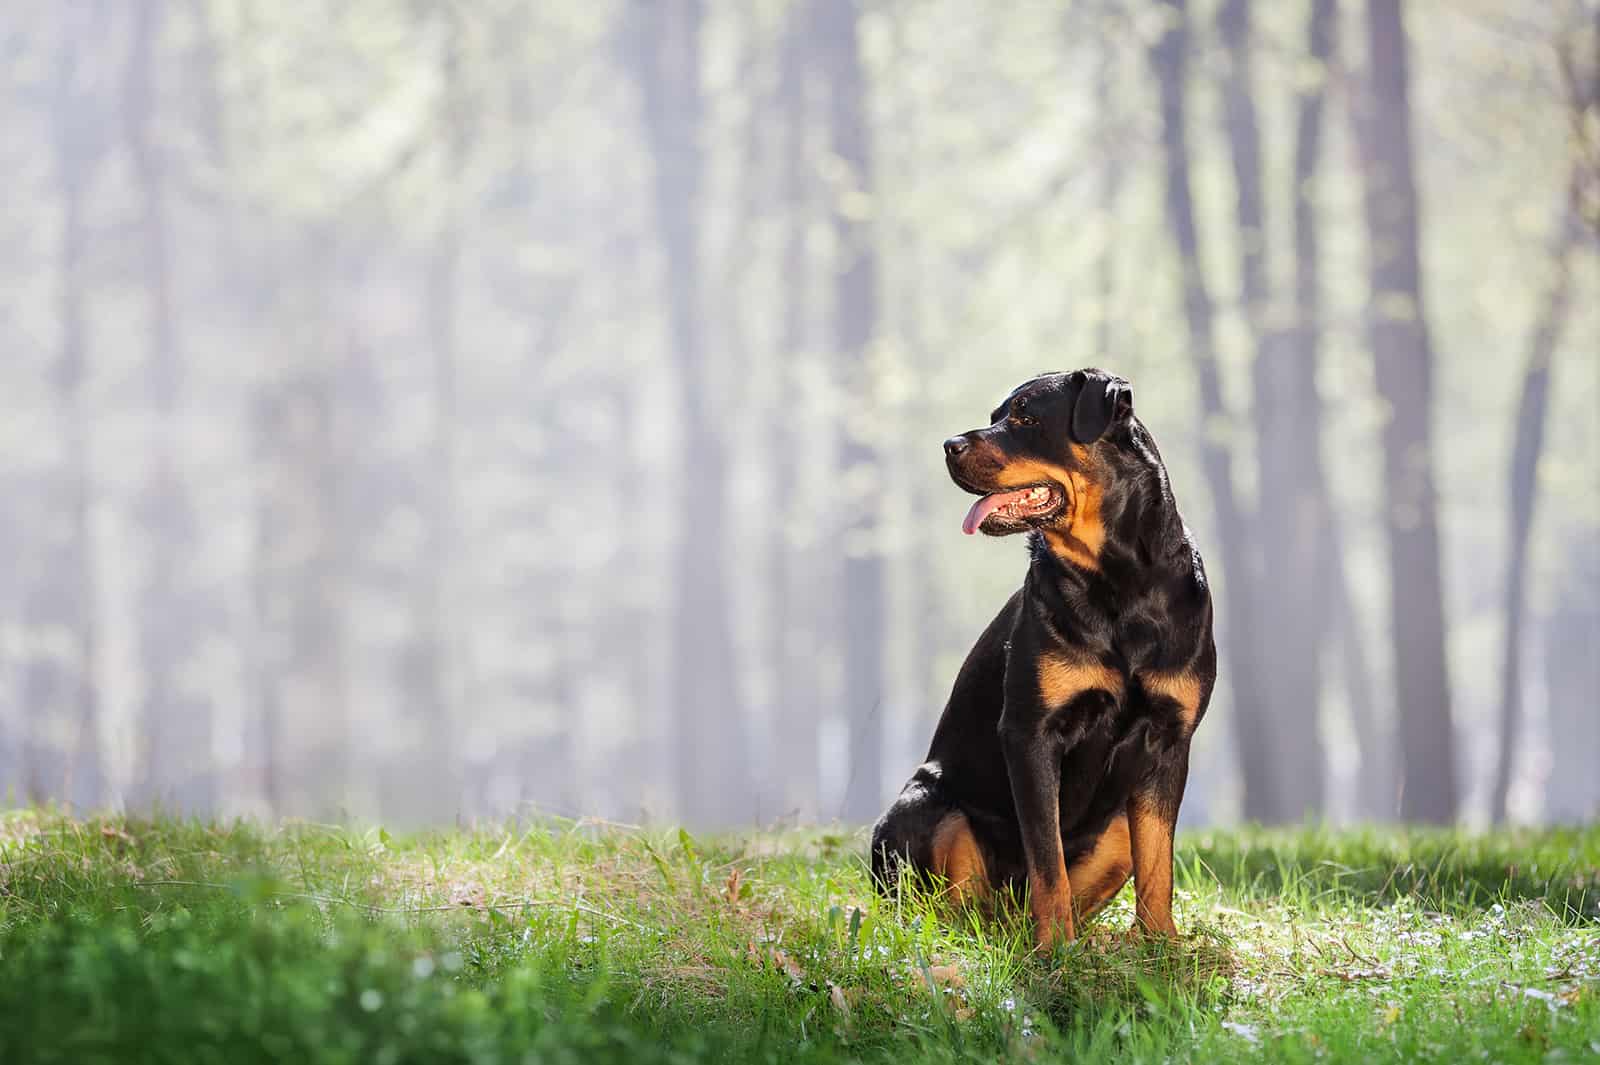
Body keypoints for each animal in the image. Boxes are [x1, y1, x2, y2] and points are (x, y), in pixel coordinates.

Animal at [876, 367, 1209, 946]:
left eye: (1026, 418)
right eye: (995, 416)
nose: (949, 445)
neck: (1119, 581)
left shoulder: (1170, 736)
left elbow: (1157, 863)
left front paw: (1161, 945)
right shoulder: (1031, 731)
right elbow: (1046, 857)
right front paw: (1056, 948)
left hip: (1114, 831)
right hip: (921, 807)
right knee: (954, 899)